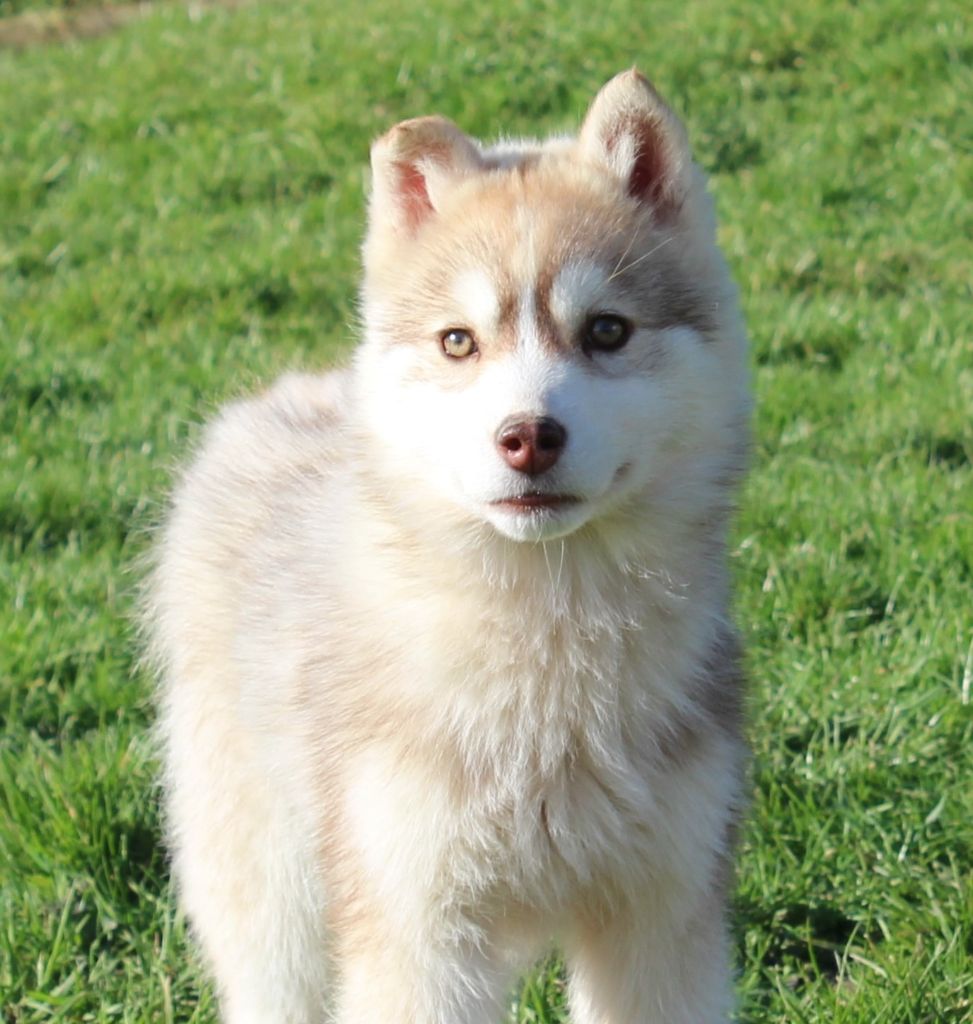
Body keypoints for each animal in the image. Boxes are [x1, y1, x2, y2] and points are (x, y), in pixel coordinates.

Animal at [144, 70, 753, 1024]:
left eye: (606, 331)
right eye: (458, 341)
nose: (527, 437)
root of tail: (289, 393)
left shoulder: (663, 919)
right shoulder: (416, 933)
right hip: (269, 895)